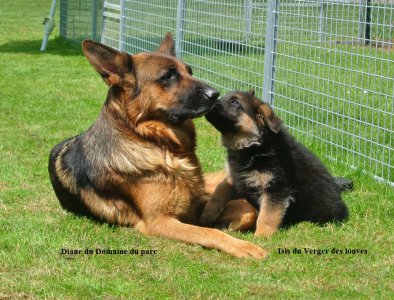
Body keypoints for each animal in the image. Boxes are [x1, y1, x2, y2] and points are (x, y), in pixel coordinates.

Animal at [47, 33, 266, 258]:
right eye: (167, 76)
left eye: (189, 71)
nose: (215, 94)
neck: (157, 143)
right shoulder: (159, 221)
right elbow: (209, 232)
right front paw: (243, 246)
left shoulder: (196, 202)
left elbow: (246, 210)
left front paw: (226, 222)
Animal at [202, 90, 350, 236]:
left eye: (235, 102)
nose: (211, 98)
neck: (254, 146)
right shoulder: (234, 176)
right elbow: (220, 190)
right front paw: (208, 213)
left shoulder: (276, 187)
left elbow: (267, 215)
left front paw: (261, 235)